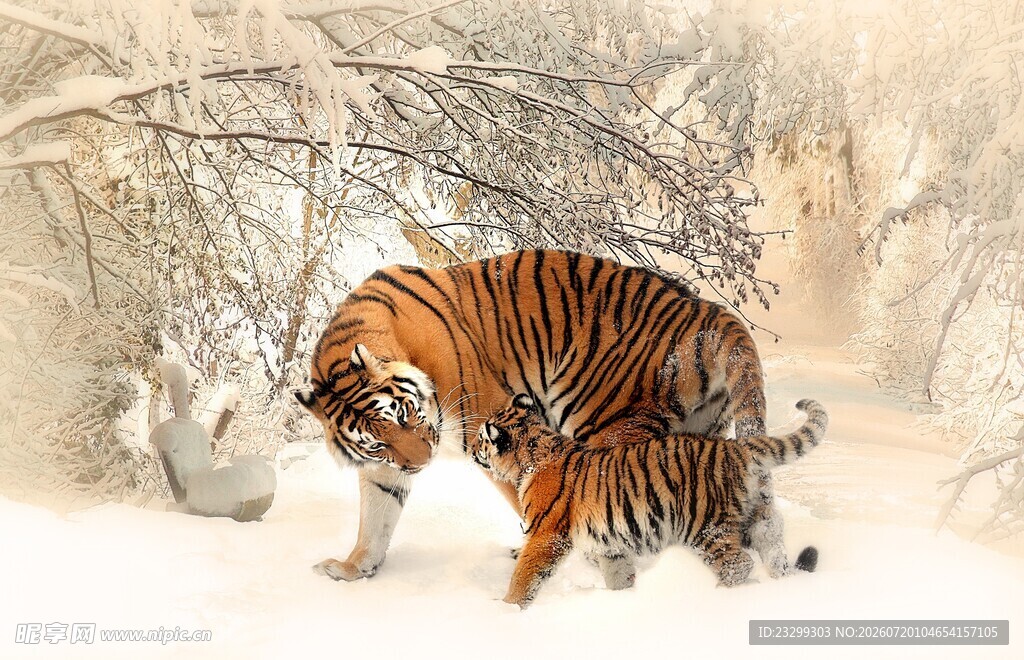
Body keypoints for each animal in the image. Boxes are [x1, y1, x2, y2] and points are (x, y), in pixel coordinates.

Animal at [295, 249, 784, 583]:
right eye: (378, 441)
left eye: (404, 414)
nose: (421, 463)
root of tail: (709, 312)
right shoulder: (384, 467)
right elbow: (375, 518)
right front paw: (352, 568)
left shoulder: (490, 427)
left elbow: (530, 498)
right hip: (701, 436)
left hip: (608, 425)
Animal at [470, 394, 828, 608]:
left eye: (481, 438)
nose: (471, 449)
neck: (533, 453)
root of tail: (735, 447)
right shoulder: (610, 544)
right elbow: (618, 574)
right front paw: (624, 599)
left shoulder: (546, 536)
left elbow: (524, 575)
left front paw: (507, 609)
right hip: (755, 519)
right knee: (774, 551)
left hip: (705, 527)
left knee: (738, 565)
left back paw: (720, 597)